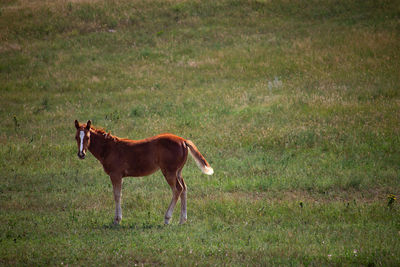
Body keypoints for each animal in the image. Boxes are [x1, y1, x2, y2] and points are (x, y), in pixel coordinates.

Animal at [74, 120, 212, 225]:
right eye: (76, 137)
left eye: (87, 137)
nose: (81, 154)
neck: (109, 149)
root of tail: (183, 140)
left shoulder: (115, 174)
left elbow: (117, 195)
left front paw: (117, 220)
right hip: (178, 171)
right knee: (184, 188)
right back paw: (182, 220)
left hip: (169, 171)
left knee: (177, 189)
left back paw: (167, 219)